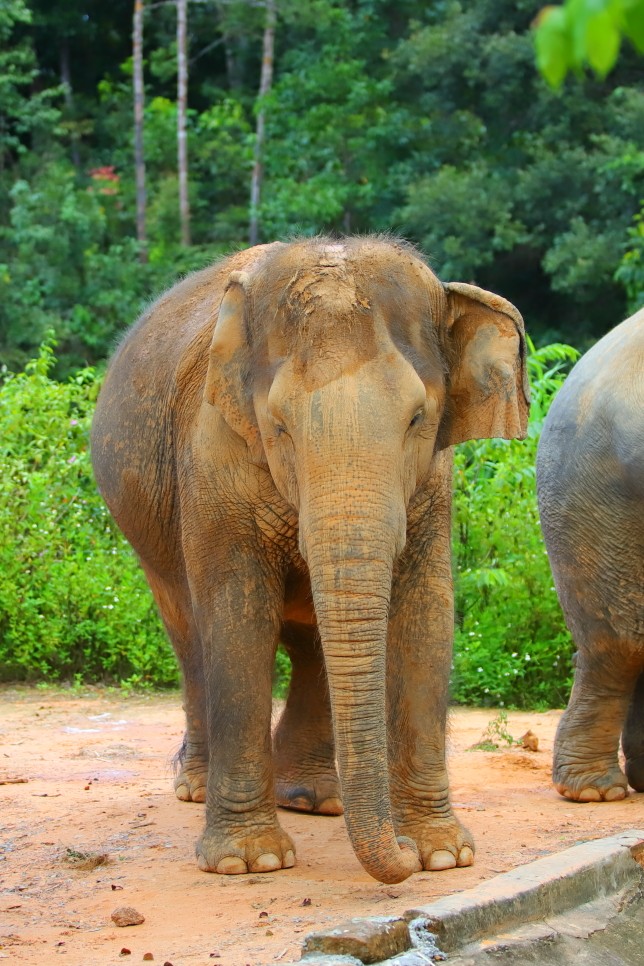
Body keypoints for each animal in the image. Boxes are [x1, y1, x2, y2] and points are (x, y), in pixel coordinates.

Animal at [92, 236, 532, 884]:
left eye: (417, 419)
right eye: (278, 425)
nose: (400, 851)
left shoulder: (433, 481)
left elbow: (427, 614)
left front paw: (443, 854)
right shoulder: (213, 456)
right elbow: (238, 616)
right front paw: (249, 862)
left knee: (309, 644)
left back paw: (315, 799)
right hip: (146, 531)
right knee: (190, 633)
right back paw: (199, 789)